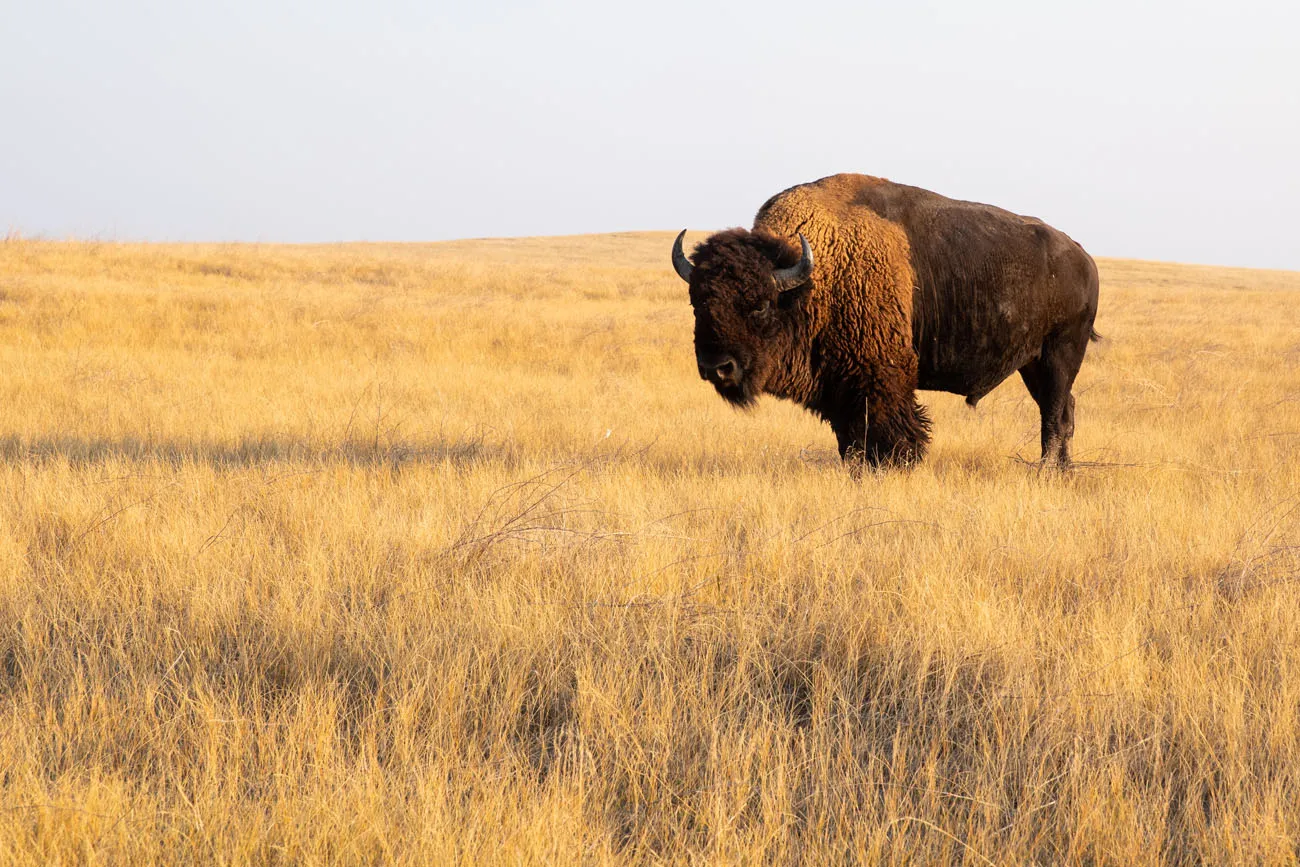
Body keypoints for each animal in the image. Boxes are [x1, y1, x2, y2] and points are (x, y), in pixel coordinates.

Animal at [676, 170, 1102, 467]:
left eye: (761, 304)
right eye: (697, 303)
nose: (717, 367)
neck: (812, 281)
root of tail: (1082, 257)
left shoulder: (879, 378)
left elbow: (889, 435)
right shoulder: (841, 388)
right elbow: (851, 441)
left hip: (1060, 354)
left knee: (1054, 416)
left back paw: (1047, 471)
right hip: (1033, 363)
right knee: (1063, 409)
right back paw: (1062, 471)